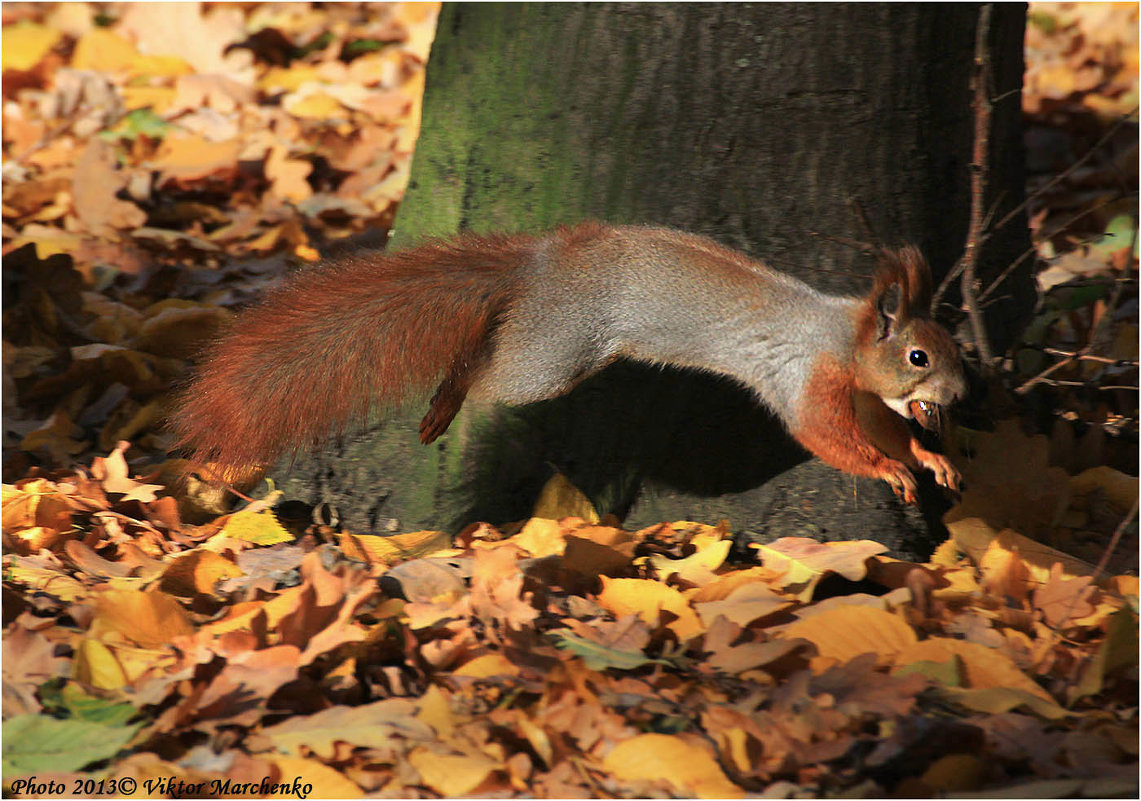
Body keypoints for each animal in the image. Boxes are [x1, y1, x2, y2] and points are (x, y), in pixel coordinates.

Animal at [173, 222, 967, 504]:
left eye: (956, 346)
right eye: (918, 354)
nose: (962, 395)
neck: (842, 335)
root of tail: (540, 264)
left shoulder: (860, 394)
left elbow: (883, 428)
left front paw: (929, 458)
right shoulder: (806, 379)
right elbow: (822, 436)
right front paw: (888, 470)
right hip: (553, 354)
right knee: (487, 371)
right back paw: (448, 404)